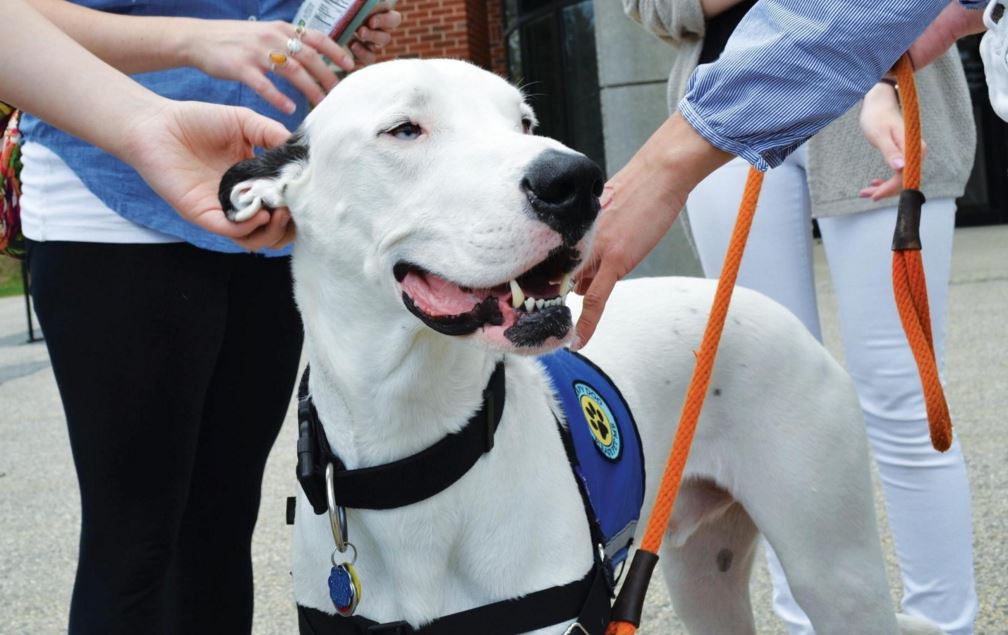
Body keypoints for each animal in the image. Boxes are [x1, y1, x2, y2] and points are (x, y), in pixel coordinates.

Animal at [220, 59, 943, 634]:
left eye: (523, 120)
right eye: (404, 129)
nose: (576, 180)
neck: (416, 448)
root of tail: (755, 299)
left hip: (837, 572)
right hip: (702, 579)